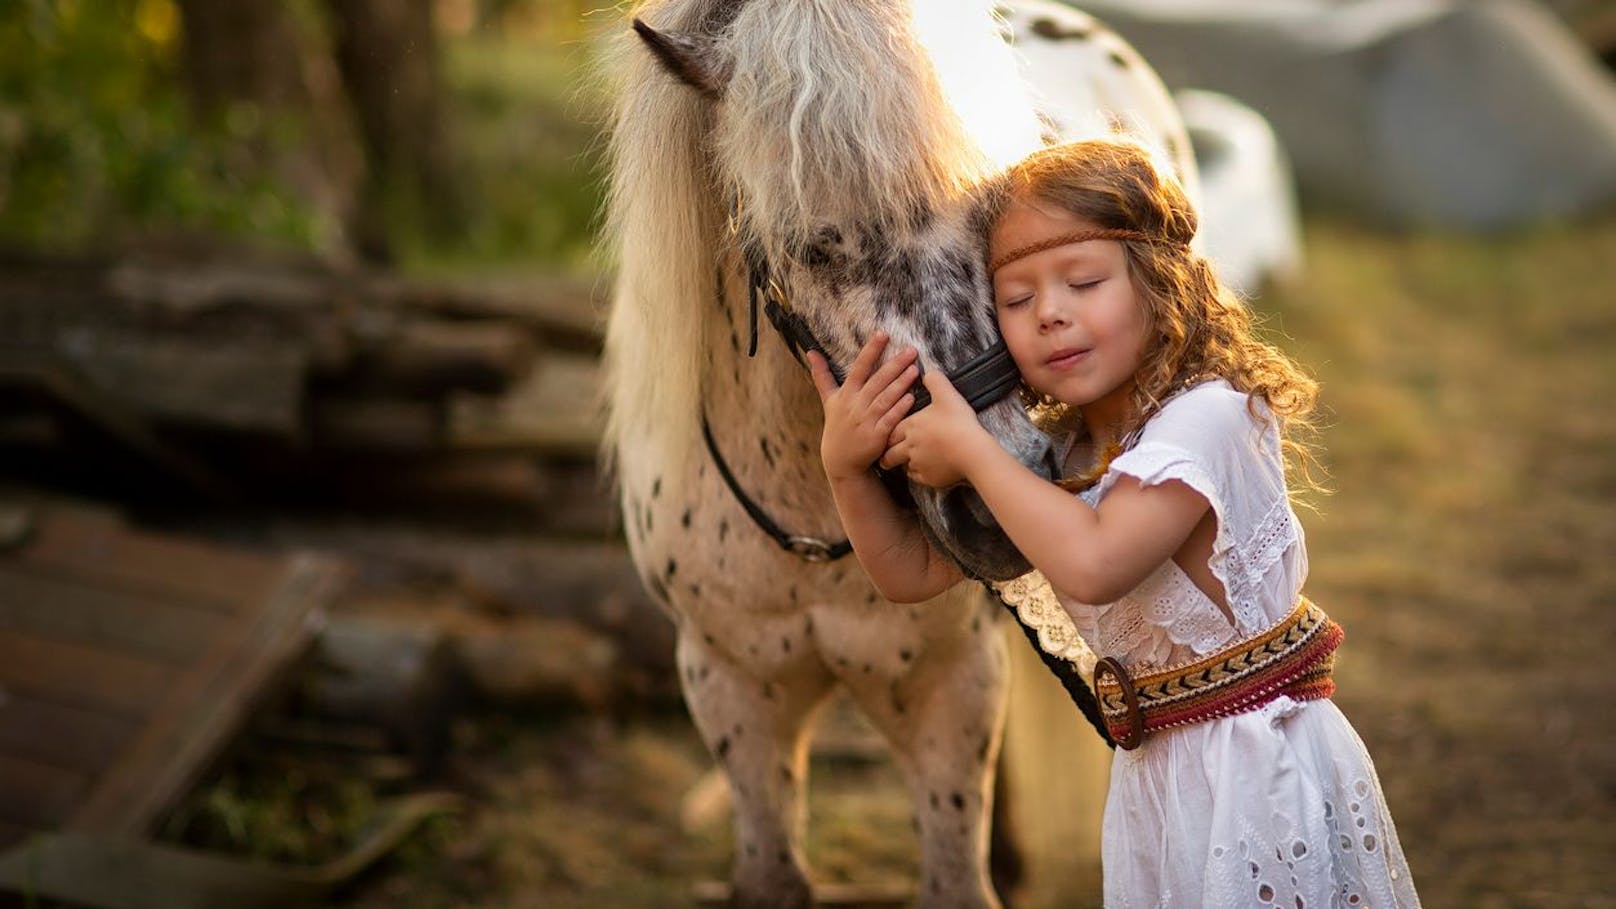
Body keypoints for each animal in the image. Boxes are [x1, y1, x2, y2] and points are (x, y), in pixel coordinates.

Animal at [601, 3, 1195, 899]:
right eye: (813, 247)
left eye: (988, 213)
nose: (994, 507)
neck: (810, 529)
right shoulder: (731, 690)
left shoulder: (951, 694)